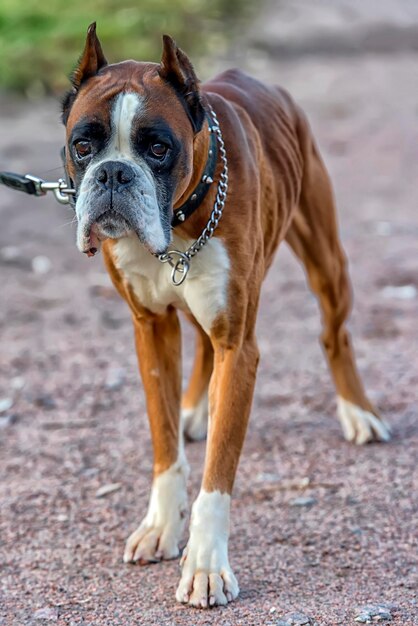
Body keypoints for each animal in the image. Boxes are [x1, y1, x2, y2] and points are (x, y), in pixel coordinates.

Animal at [62, 23, 392, 604]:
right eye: (83, 146)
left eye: (157, 148)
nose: (114, 174)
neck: (181, 219)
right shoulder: (151, 331)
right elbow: (165, 441)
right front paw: (162, 525)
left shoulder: (239, 347)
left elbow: (218, 472)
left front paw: (206, 564)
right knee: (201, 349)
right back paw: (197, 409)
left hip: (327, 263)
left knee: (335, 335)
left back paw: (358, 412)